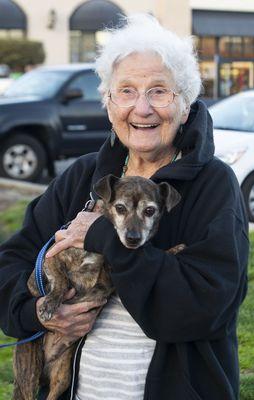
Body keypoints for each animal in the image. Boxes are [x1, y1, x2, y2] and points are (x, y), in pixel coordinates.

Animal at [11, 175, 186, 400]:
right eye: (120, 208)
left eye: (150, 210)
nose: (133, 238)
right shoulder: (51, 257)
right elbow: (62, 279)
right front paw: (49, 304)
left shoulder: (112, 279)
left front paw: (175, 248)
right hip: (29, 371)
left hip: (62, 375)